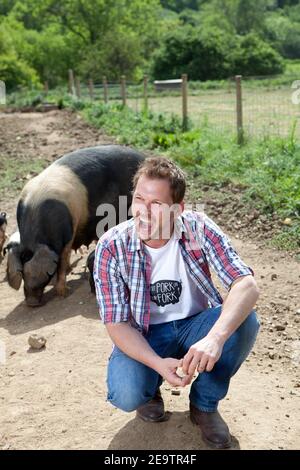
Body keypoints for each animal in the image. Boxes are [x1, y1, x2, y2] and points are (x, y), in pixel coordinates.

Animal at [7, 145, 146, 306]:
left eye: (42, 277)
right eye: (22, 274)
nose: (31, 303)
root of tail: (144, 157)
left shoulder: (68, 234)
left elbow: (62, 261)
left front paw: (63, 293)